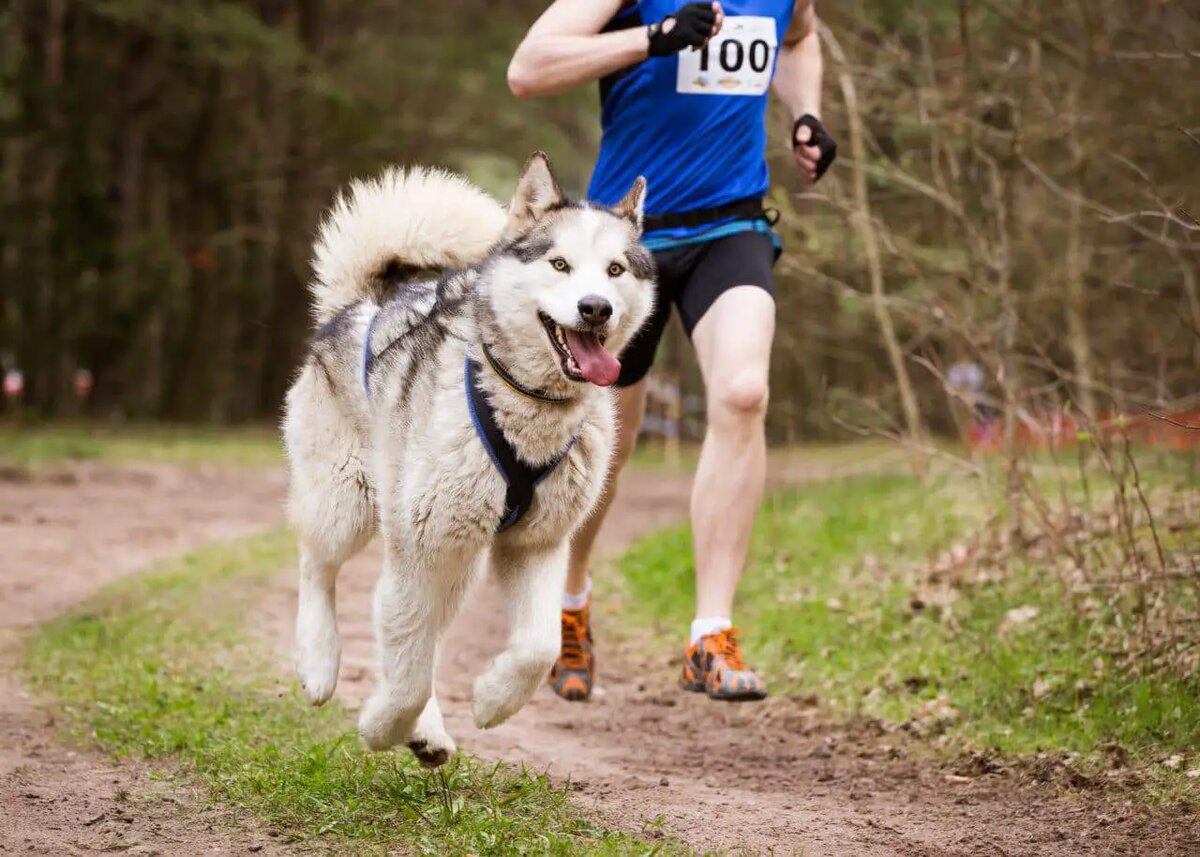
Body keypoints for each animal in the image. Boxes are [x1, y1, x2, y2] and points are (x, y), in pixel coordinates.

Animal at [282, 151, 657, 763]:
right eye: (559, 264)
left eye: (616, 270)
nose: (595, 308)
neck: (526, 406)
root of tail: (360, 304)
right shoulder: (420, 549)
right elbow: (407, 676)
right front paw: (382, 727)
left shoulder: (537, 543)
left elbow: (538, 648)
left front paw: (492, 700)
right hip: (347, 505)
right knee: (318, 567)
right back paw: (319, 662)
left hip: (457, 559)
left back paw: (428, 732)